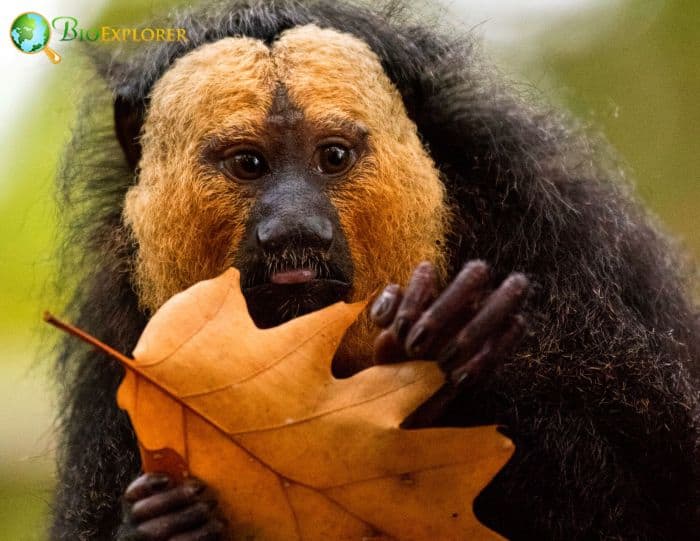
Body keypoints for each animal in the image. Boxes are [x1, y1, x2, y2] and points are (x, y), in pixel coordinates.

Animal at [52, 1, 696, 540]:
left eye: (333, 156)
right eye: (249, 164)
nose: (295, 230)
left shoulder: (575, 259)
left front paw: (445, 347)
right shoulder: (114, 351)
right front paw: (162, 523)